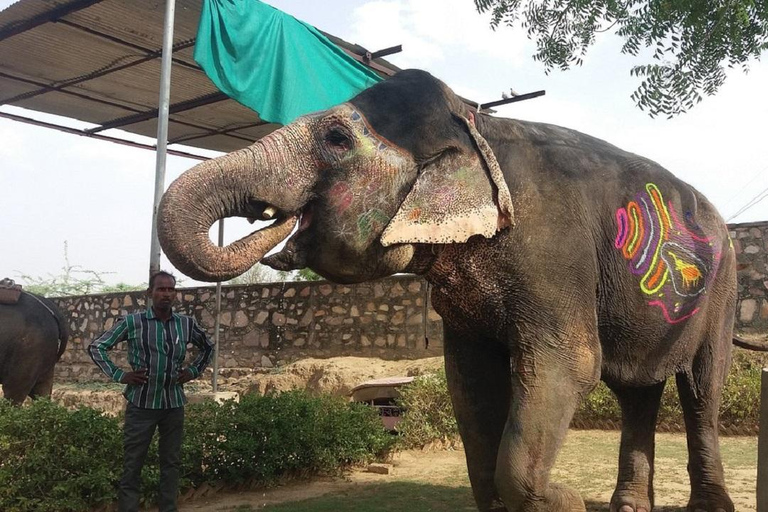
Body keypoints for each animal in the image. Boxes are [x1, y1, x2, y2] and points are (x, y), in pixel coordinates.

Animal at [158, 69, 760, 512]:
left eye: (335, 139)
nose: (274, 223)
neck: (477, 126)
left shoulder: (553, 253)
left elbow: (569, 364)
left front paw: (562, 502)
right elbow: (468, 382)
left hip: (723, 291)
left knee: (701, 388)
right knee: (636, 390)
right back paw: (628, 506)